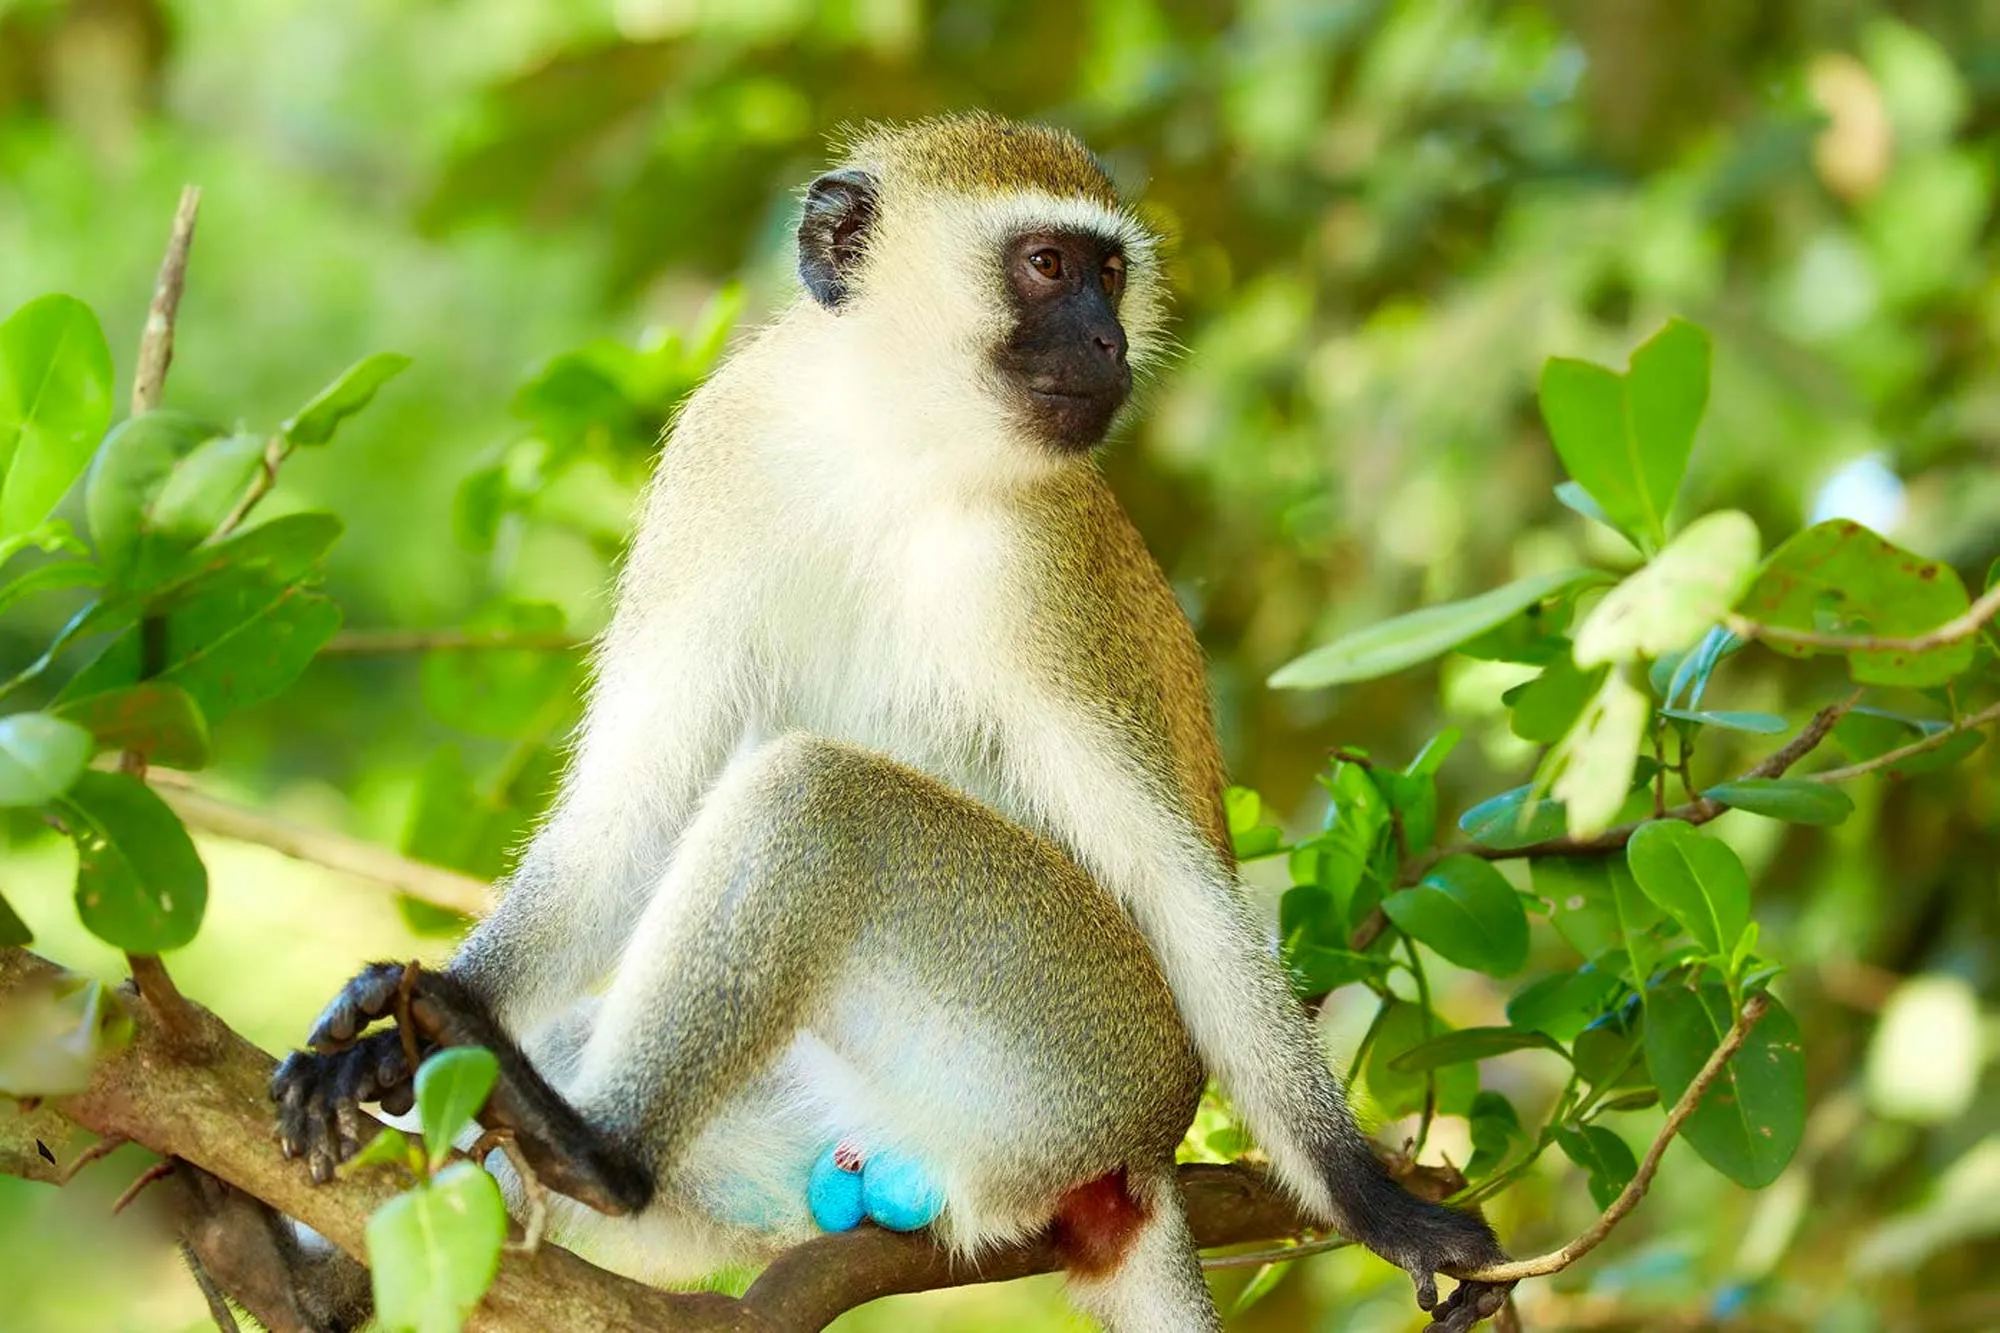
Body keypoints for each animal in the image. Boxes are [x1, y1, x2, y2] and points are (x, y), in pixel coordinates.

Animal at [269, 113, 1512, 1332]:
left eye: (1110, 275)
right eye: (1048, 266)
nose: (1108, 342)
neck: (885, 443)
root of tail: (1136, 1165)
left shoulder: (1040, 569)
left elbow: (1174, 883)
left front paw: (1375, 1202)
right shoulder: (718, 451)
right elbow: (630, 806)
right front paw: (409, 1022)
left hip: (1074, 1049)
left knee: (821, 796)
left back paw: (594, 1152)